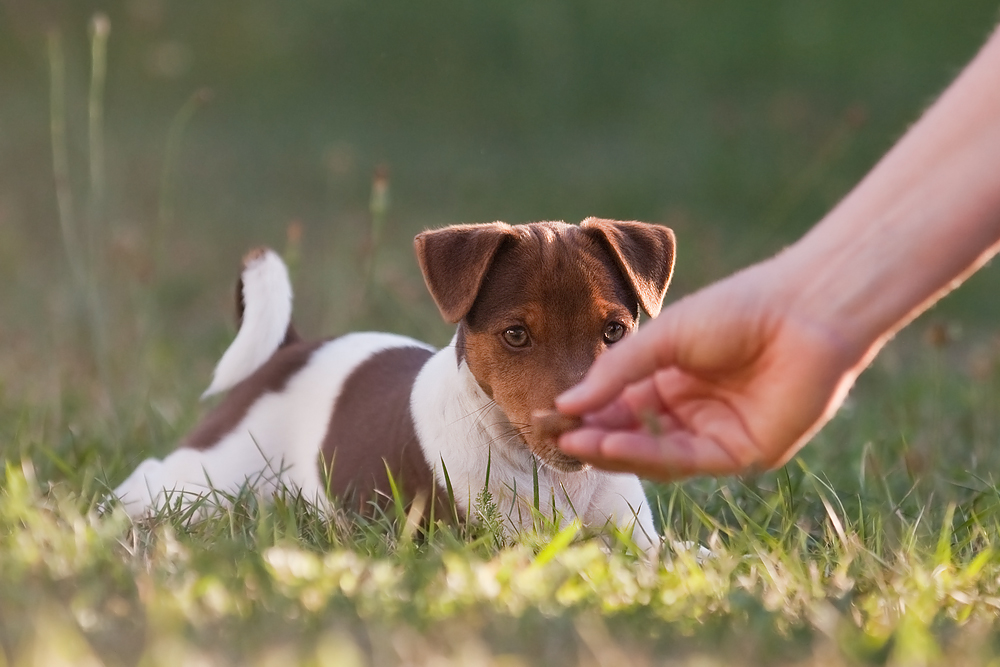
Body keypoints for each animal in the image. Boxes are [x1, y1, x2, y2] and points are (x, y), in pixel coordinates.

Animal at [109, 219, 676, 548]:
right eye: (516, 335)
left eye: (615, 332)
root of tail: (292, 349)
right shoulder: (498, 544)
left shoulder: (639, 540)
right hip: (216, 477)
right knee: (155, 479)